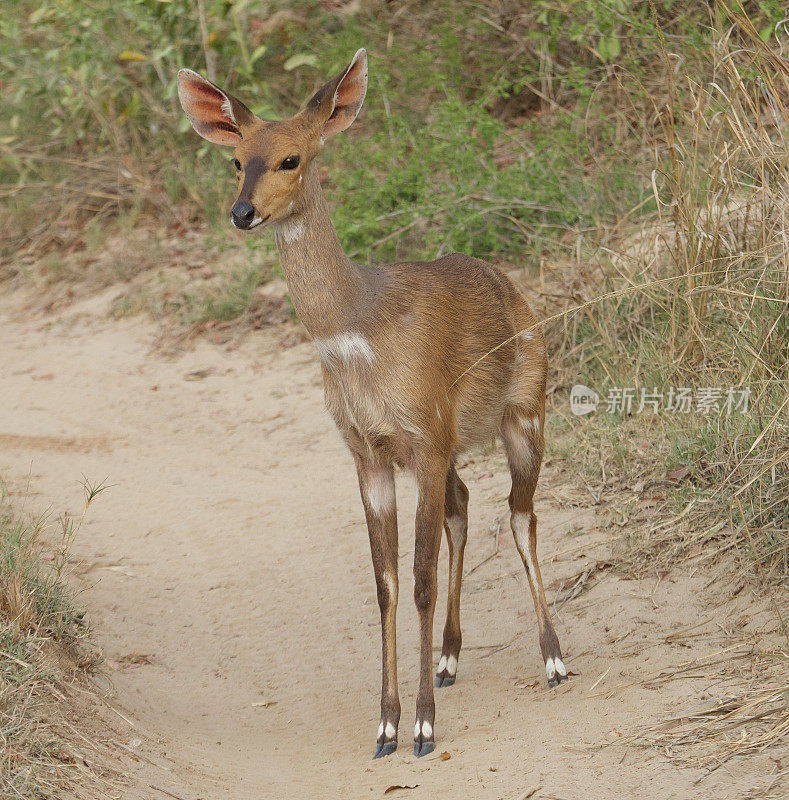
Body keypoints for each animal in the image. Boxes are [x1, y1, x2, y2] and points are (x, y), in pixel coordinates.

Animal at [179, 47, 568, 760]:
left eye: (291, 158)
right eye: (236, 159)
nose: (242, 213)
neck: (357, 331)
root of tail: (518, 293)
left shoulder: (426, 435)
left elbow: (418, 578)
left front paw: (422, 728)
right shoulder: (370, 452)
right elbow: (385, 582)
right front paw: (386, 725)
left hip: (525, 412)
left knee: (520, 513)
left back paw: (553, 659)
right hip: (451, 447)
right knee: (467, 503)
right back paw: (448, 660)